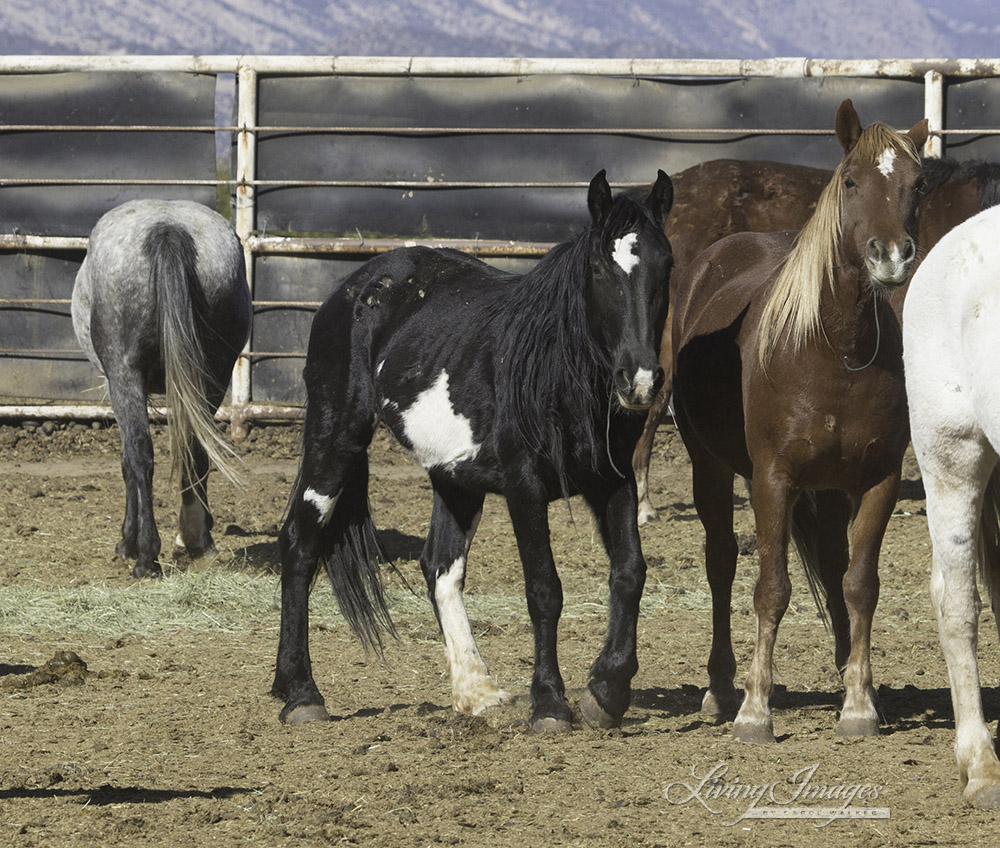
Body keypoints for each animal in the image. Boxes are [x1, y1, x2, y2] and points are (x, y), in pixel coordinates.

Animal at [73, 202, 252, 580]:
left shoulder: (117, 381)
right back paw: (195, 537)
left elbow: (129, 460)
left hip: (125, 374)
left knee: (142, 454)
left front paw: (127, 542)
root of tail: (167, 228)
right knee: (196, 449)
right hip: (212, 375)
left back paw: (146, 557)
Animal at [276, 171, 672, 728]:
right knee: (300, 543)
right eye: (598, 268)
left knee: (440, 567)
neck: (552, 370)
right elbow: (544, 589)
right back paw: (301, 693)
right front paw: (550, 703)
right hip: (336, 437)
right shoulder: (524, 485)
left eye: (667, 264)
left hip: (454, 476)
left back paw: (476, 691)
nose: (639, 380)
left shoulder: (612, 481)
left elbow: (630, 574)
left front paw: (607, 690)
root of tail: (355, 288)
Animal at [668, 99, 924, 744]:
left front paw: (860, 702)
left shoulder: (879, 480)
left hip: (830, 488)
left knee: (833, 565)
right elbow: (771, 588)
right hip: (710, 468)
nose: (891, 255)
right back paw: (720, 689)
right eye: (851, 181)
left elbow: (859, 584)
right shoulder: (773, 480)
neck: (834, 351)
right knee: (721, 562)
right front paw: (755, 710)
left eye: (917, 183)